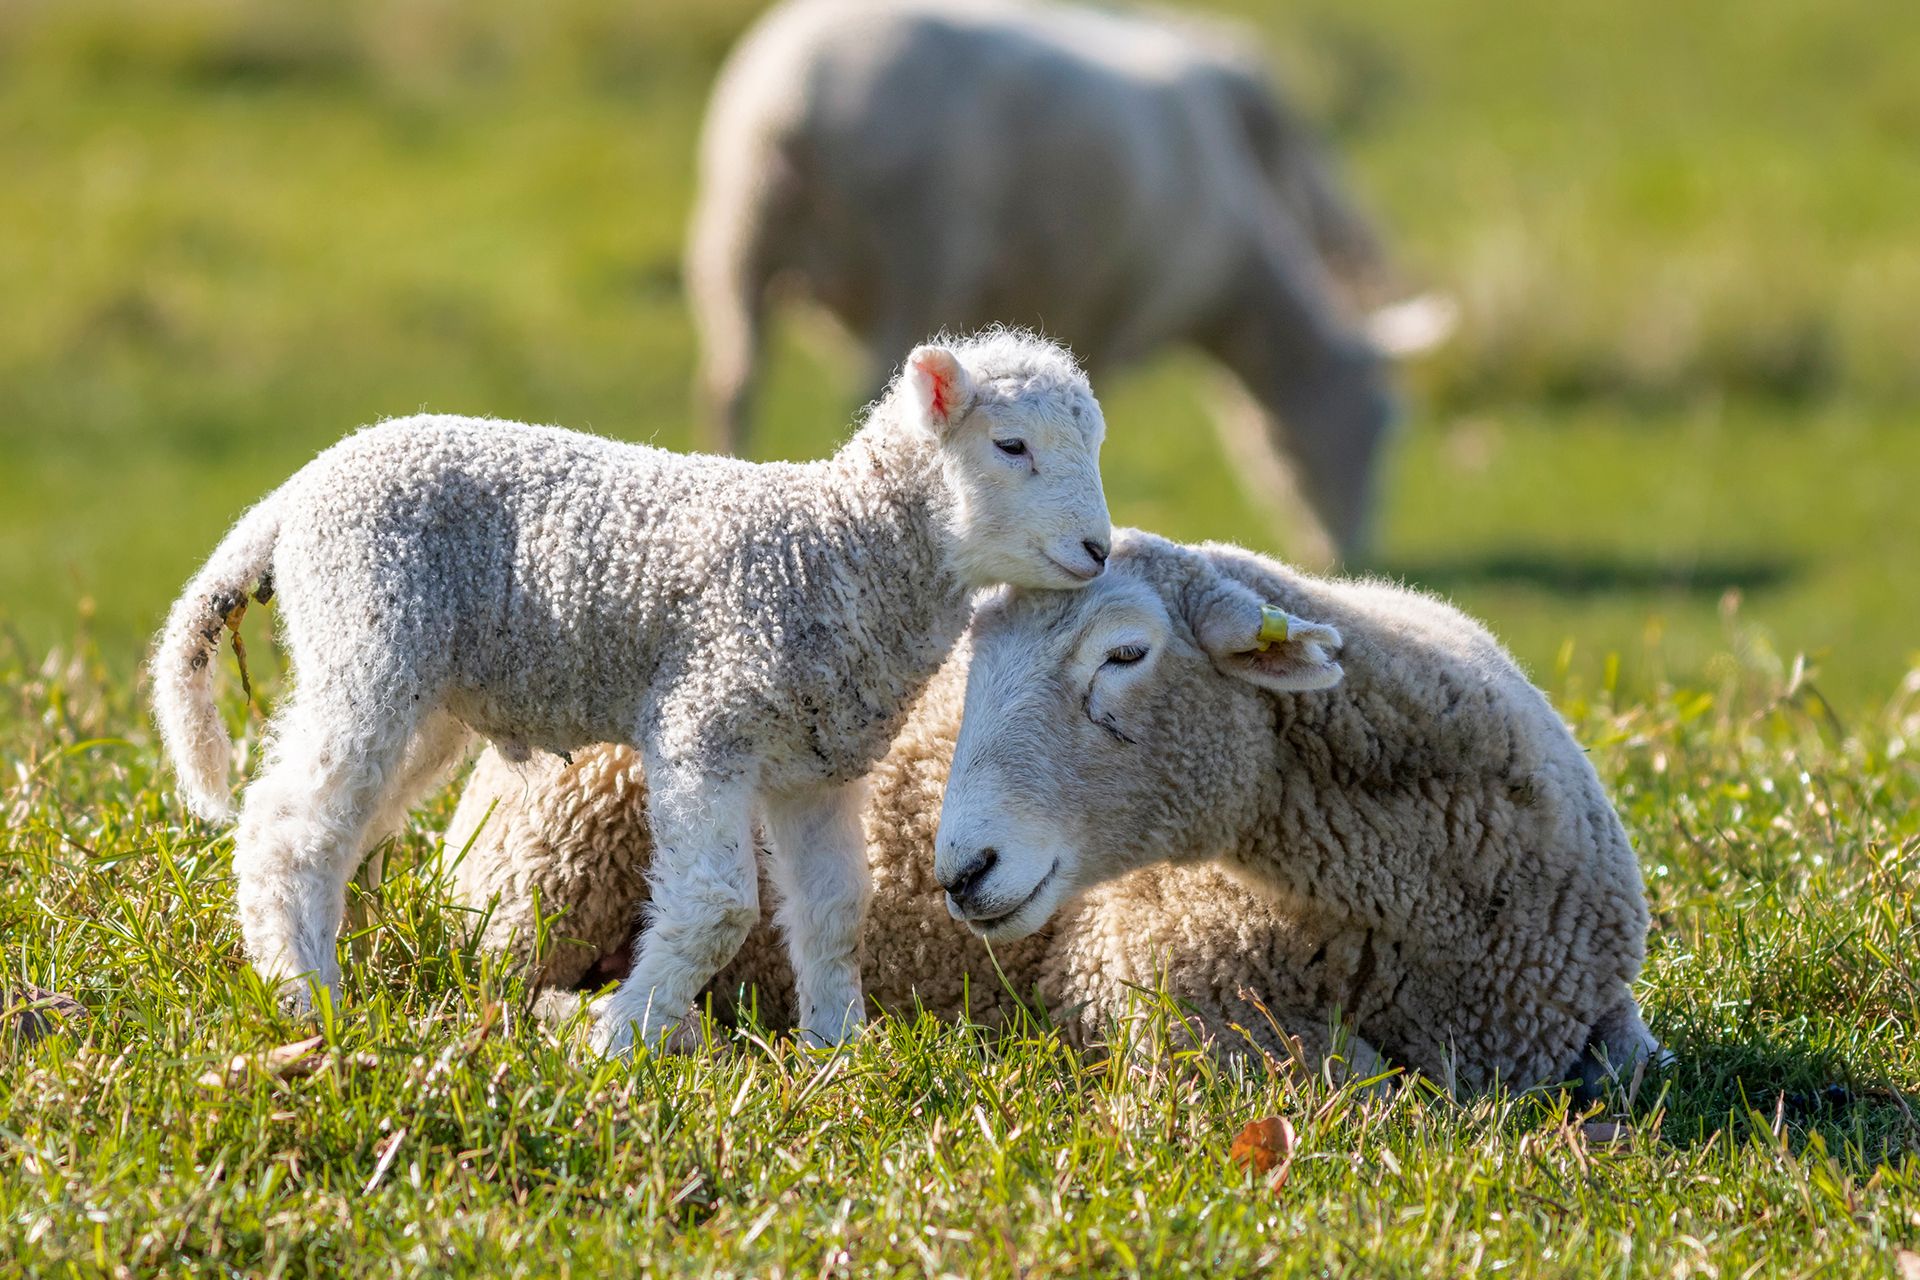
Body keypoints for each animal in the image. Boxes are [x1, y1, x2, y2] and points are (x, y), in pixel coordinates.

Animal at [150, 329, 1112, 1055]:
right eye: (1011, 446)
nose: (1099, 550)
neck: (838, 545)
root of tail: (298, 492)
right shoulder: (705, 719)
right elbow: (719, 907)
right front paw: (620, 1037)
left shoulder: (814, 765)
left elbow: (838, 911)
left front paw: (837, 1053)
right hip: (368, 634)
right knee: (286, 826)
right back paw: (308, 1000)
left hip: (420, 688)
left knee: (343, 823)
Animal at [444, 533, 1655, 1092]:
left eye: (1125, 653)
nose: (960, 869)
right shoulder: (1162, 995)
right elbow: (1363, 1085)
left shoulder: (1601, 1011)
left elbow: (1635, 1066)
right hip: (544, 872)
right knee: (501, 995)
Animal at [688, 0, 1439, 563]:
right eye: (1375, 429)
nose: (1343, 555)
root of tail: (791, 100)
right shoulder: (1105, 307)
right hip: (913, 254)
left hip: (736, 242)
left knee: (732, 384)